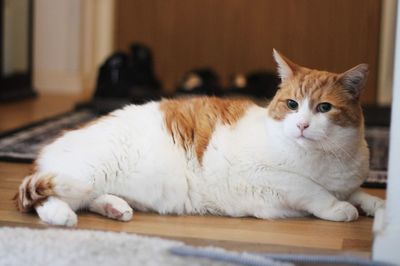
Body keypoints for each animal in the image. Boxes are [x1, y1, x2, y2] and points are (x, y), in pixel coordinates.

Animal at [14, 50, 384, 227]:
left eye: (324, 108)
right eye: (292, 104)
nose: (303, 125)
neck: (326, 158)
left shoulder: (347, 180)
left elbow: (359, 192)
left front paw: (378, 206)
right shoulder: (266, 176)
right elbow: (311, 190)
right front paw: (339, 208)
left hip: (89, 184)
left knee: (86, 198)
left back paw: (115, 207)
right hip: (85, 174)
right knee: (43, 198)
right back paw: (62, 216)